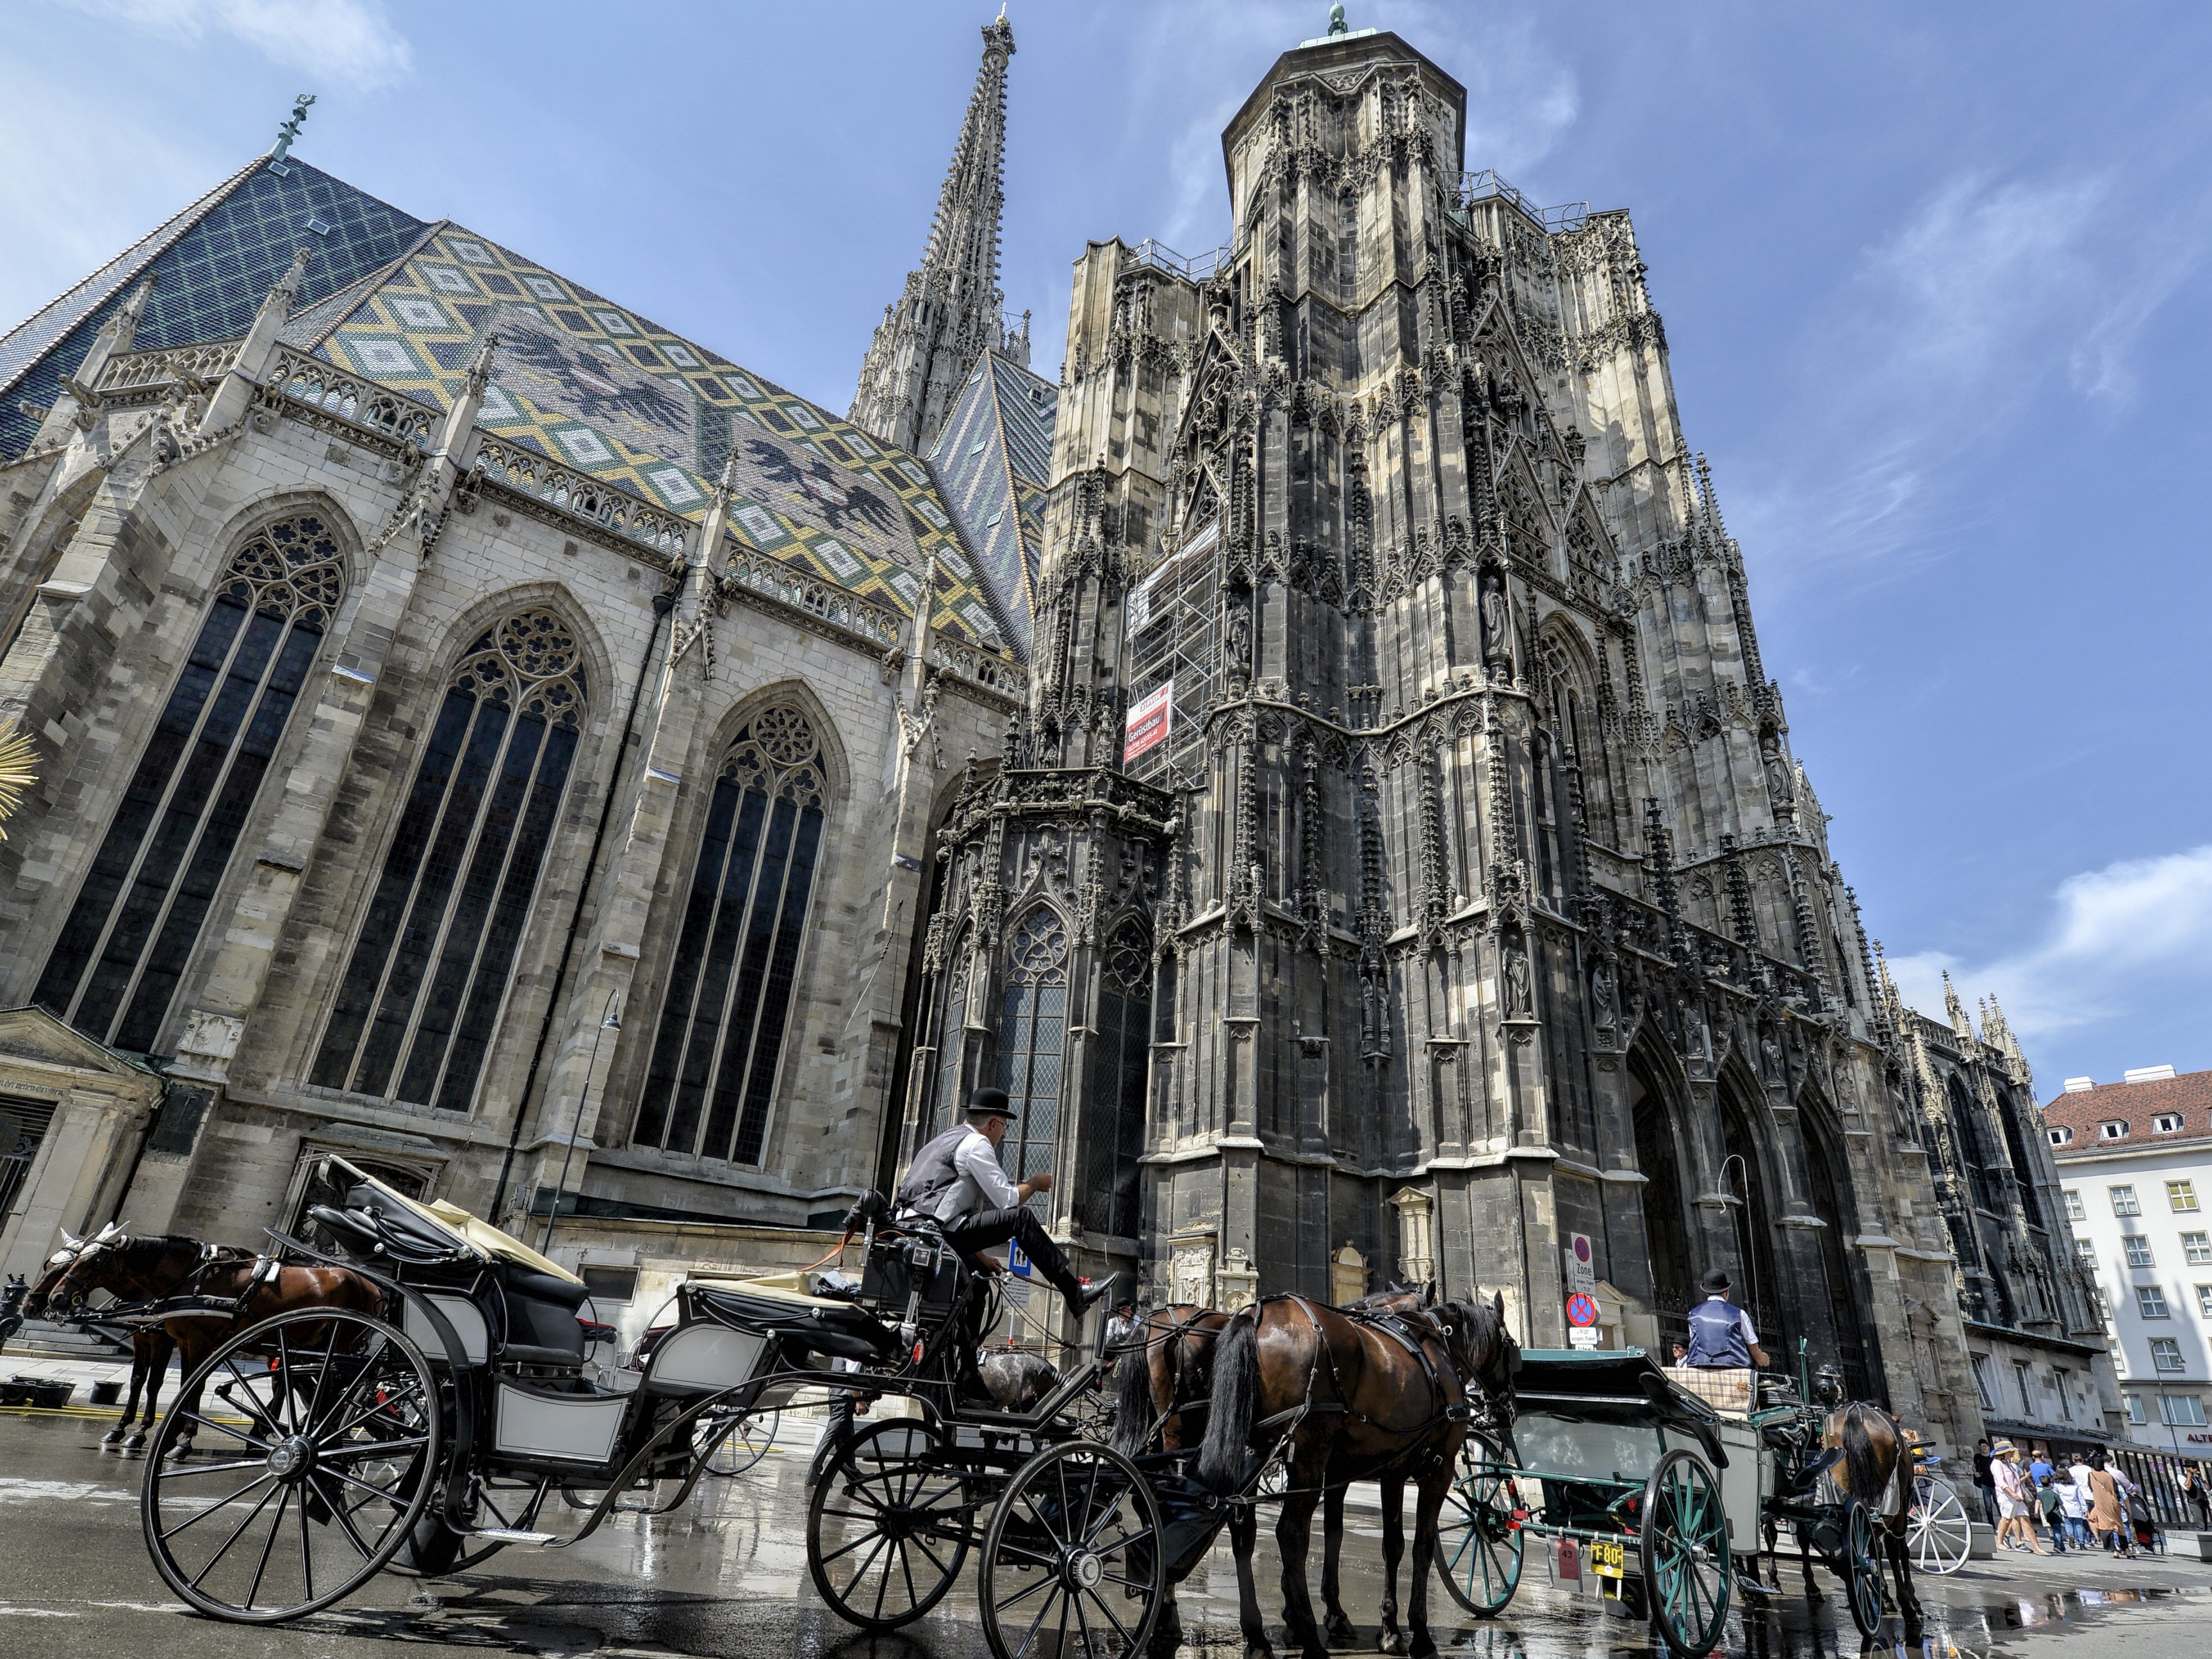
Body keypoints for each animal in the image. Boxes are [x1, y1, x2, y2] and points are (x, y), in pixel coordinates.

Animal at [27, 1230, 376, 1460]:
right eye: (49, 1265)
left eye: (95, 1260)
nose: (50, 1301)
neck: (192, 1280)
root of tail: (367, 1283)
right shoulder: (169, 1338)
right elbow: (153, 1381)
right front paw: (139, 1432)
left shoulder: (186, 1340)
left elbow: (172, 1384)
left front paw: (174, 1439)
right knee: (292, 1385)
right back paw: (268, 1434)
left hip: (336, 1347)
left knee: (330, 1391)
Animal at [1194, 1300, 1521, 1659]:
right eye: (1512, 1349)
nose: (1509, 1411)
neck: (1441, 1346)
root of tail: (1256, 1315)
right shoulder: (1439, 1468)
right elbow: (1421, 1546)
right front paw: (1420, 1635)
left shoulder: (1388, 1470)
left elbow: (1385, 1544)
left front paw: (1389, 1630)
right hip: (1309, 1455)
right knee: (1291, 1534)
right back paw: (1310, 1641)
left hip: (1254, 1449)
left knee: (1244, 1533)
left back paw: (1257, 1639)